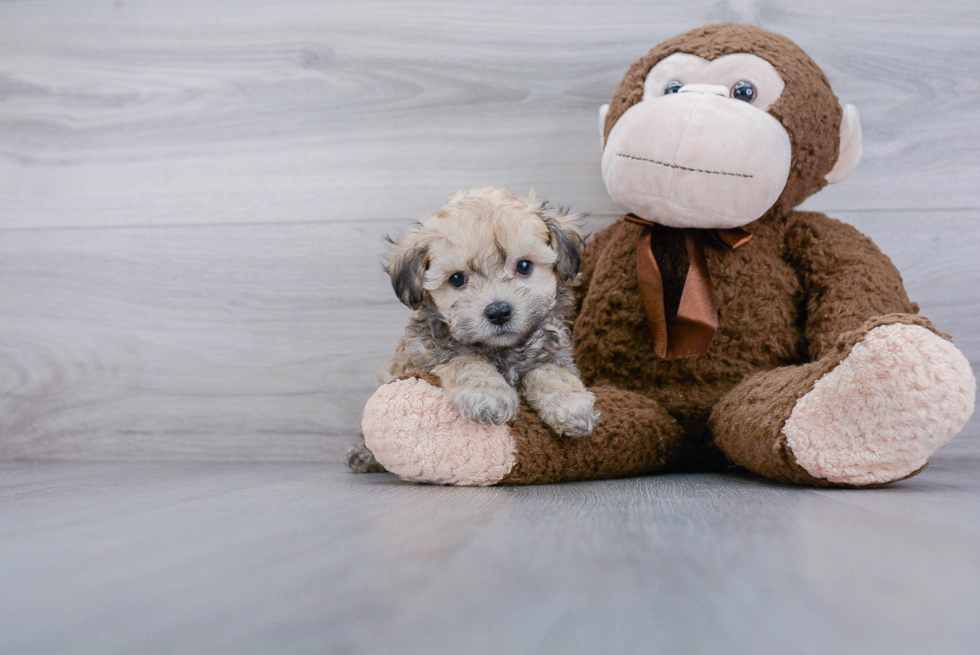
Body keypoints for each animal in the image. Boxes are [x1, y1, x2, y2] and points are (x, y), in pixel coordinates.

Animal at [348, 187, 600, 474]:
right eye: (457, 279)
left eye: (524, 266)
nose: (498, 311)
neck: (502, 350)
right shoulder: (429, 355)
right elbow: (468, 361)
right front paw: (488, 395)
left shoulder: (553, 351)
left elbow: (550, 373)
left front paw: (571, 406)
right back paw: (364, 456)